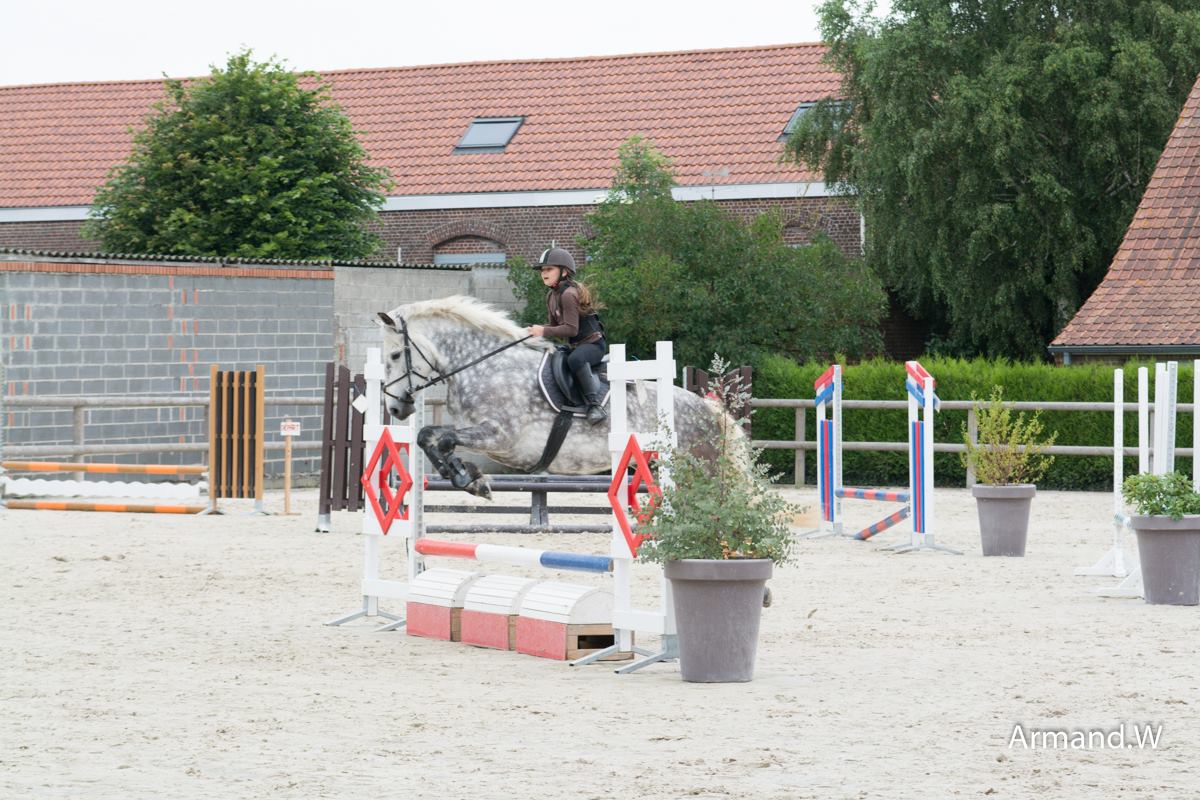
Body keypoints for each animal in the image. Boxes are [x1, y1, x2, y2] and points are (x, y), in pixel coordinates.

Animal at [374, 296, 720, 494]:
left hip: (698, 468)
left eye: (394, 356)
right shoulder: (482, 436)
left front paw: (466, 477)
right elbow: (427, 436)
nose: (395, 408)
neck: (485, 365)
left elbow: (442, 438)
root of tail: (710, 412)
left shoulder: (500, 436)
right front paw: (469, 479)